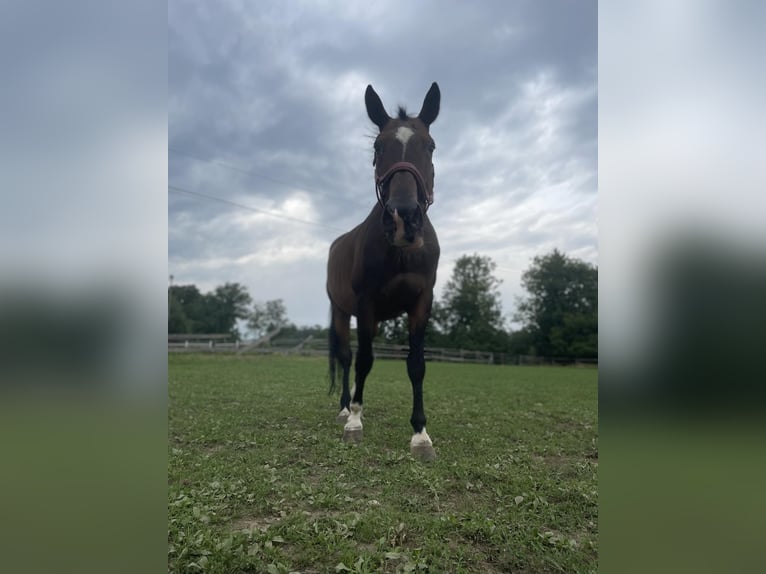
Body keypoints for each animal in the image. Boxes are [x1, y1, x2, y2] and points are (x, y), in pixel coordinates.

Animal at [326, 83, 444, 464]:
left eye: (430, 145)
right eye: (378, 147)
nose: (403, 218)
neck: (402, 253)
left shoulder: (422, 303)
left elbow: (416, 365)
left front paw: (420, 435)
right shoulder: (365, 304)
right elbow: (364, 360)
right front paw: (354, 423)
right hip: (341, 311)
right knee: (347, 358)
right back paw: (346, 408)